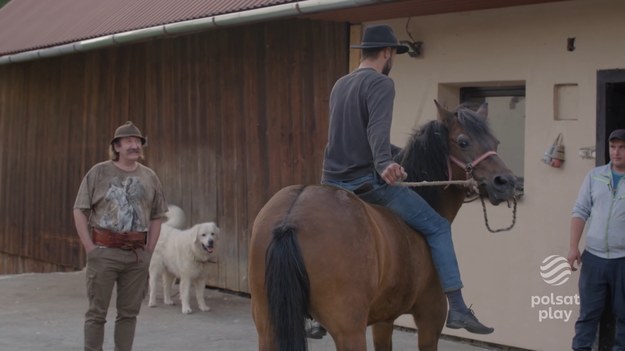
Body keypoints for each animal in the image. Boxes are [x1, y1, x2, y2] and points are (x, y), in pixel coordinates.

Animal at [249, 100, 516, 350]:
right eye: (463, 142)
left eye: (495, 142)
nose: (506, 182)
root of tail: (290, 217)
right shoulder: (431, 317)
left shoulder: (383, 320)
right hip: (349, 331)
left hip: (267, 327)